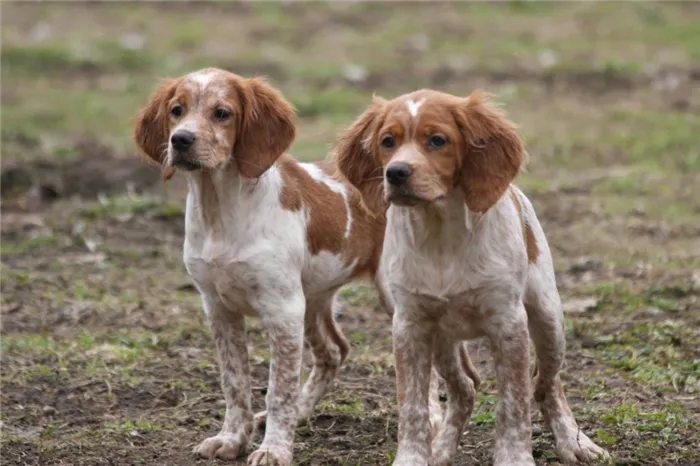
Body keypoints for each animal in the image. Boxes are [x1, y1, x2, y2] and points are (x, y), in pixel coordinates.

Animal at [131, 69, 400, 466]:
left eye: (222, 113)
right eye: (176, 110)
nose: (180, 140)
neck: (221, 211)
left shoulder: (282, 310)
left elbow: (278, 390)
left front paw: (274, 449)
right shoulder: (219, 309)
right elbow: (234, 382)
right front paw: (231, 439)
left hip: (395, 300)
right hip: (314, 299)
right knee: (334, 351)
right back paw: (303, 413)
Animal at [334, 90, 608, 466]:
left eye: (438, 140)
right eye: (387, 141)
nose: (396, 173)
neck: (441, 236)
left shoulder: (508, 323)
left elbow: (514, 404)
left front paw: (515, 458)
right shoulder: (409, 326)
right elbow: (412, 406)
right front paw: (413, 457)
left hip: (549, 320)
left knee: (547, 383)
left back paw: (574, 442)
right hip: (442, 339)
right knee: (465, 387)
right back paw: (441, 450)